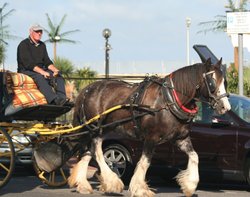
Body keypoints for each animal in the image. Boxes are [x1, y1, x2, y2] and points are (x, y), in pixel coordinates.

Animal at [68, 57, 230, 196]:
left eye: (225, 82)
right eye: (212, 82)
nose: (225, 107)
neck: (168, 100)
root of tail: (87, 90)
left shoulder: (181, 138)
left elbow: (195, 156)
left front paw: (190, 185)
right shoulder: (151, 138)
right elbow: (145, 162)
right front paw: (140, 189)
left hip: (97, 129)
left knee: (88, 151)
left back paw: (83, 184)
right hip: (96, 129)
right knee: (97, 151)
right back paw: (112, 182)